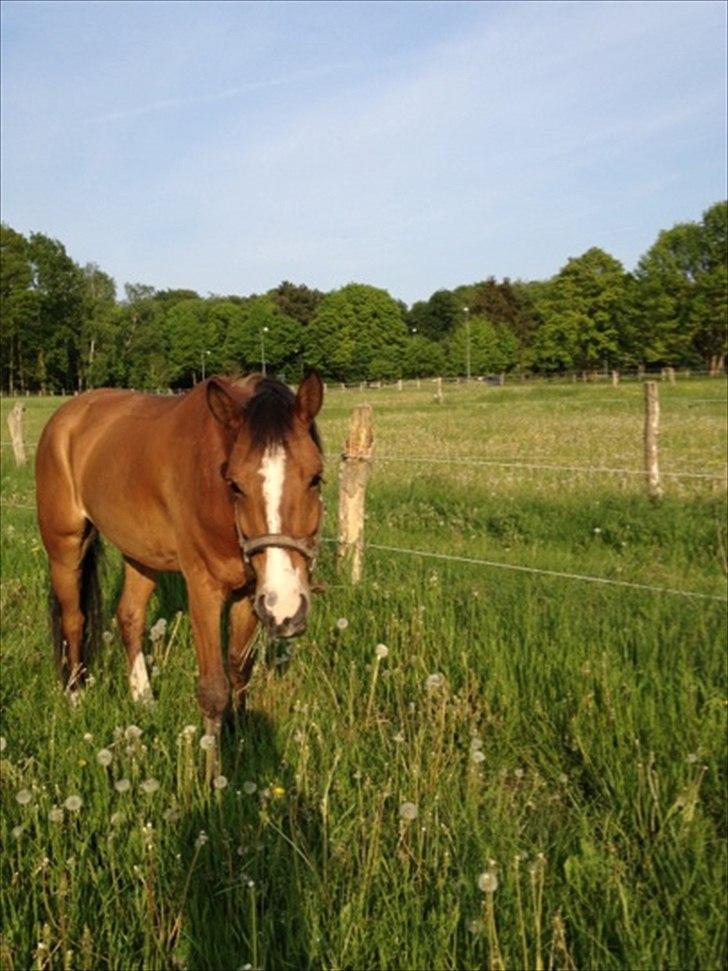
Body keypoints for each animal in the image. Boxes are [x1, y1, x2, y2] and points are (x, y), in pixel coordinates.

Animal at [34, 368, 324, 756]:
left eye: (316, 478)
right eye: (234, 484)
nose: (286, 608)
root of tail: (67, 415)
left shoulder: (250, 591)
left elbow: (240, 665)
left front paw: (242, 735)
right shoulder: (203, 588)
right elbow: (213, 689)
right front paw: (213, 765)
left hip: (140, 555)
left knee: (129, 617)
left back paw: (143, 700)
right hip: (64, 548)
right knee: (74, 621)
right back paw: (76, 697)